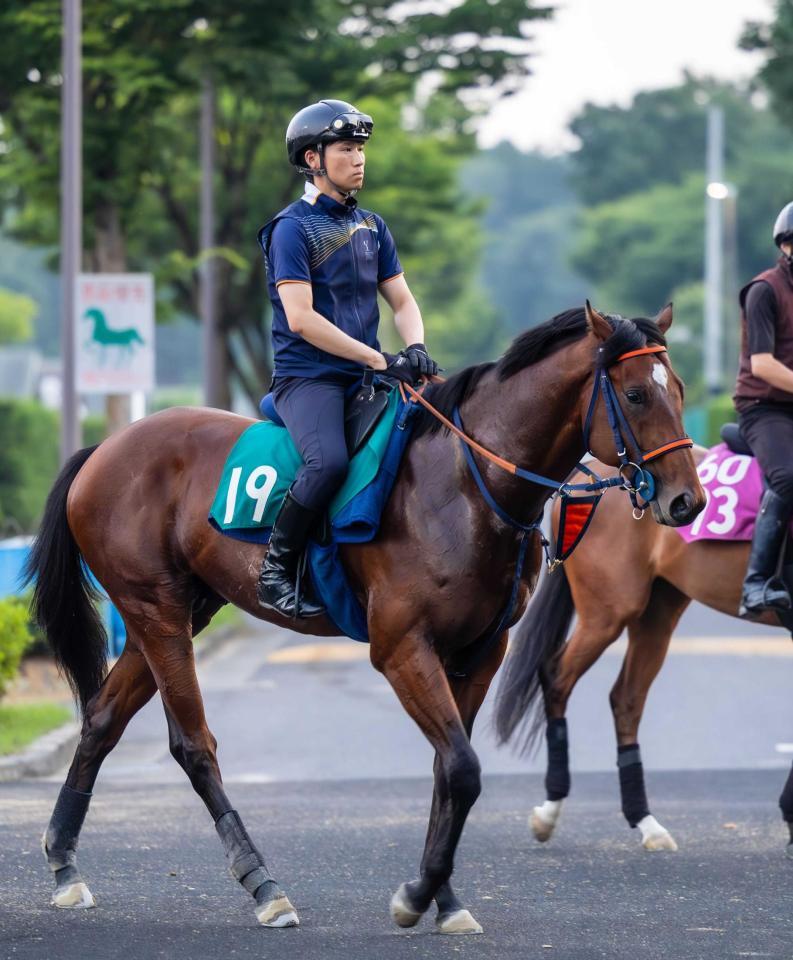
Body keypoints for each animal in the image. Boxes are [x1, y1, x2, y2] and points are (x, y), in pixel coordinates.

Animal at [24, 303, 704, 934]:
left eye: (679, 390)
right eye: (636, 393)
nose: (687, 501)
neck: (466, 485)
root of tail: (105, 449)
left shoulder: (479, 653)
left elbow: (447, 773)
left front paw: (443, 899)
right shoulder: (402, 649)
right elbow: (462, 769)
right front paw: (418, 895)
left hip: (176, 614)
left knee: (102, 721)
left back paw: (65, 866)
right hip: (156, 611)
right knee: (193, 745)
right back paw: (263, 885)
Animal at [494, 448, 793, 858]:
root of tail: (591, 472)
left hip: (658, 611)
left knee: (627, 699)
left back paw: (646, 822)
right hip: (608, 613)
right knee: (557, 678)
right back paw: (550, 811)